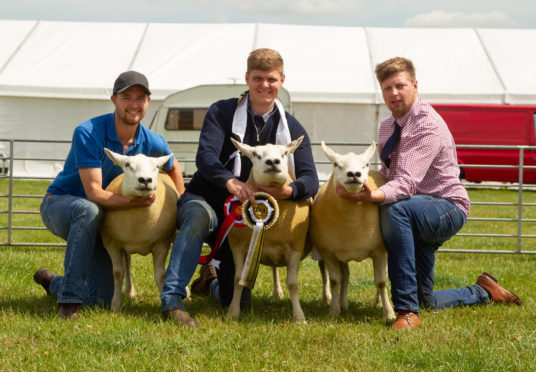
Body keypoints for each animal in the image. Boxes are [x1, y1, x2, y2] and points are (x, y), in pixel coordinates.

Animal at [101, 148, 181, 310]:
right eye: (127, 164)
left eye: (155, 166)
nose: (145, 180)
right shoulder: (111, 243)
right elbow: (118, 273)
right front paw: (115, 306)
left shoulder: (161, 243)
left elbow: (160, 276)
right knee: (128, 263)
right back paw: (129, 291)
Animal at [226, 137, 310, 322]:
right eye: (255, 154)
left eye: (284, 153)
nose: (273, 162)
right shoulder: (237, 245)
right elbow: (237, 279)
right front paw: (233, 312)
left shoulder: (296, 246)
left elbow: (293, 284)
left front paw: (299, 316)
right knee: (274, 268)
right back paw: (277, 293)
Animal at [312, 141, 396, 322]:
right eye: (336, 164)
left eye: (366, 164)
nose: (354, 174)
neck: (352, 224)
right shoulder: (329, 252)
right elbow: (335, 280)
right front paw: (333, 311)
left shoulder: (379, 251)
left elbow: (381, 282)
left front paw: (389, 313)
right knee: (344, 275)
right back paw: (342, 303)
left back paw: (377, 302)